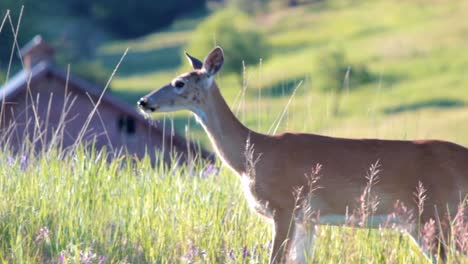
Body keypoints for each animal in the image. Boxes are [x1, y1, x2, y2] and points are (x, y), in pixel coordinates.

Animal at [138, 47, 468, 262]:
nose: (143, 101)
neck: (252, 155)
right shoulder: (308, 219)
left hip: (438, 213)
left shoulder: (284, 205)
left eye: (179, 82)